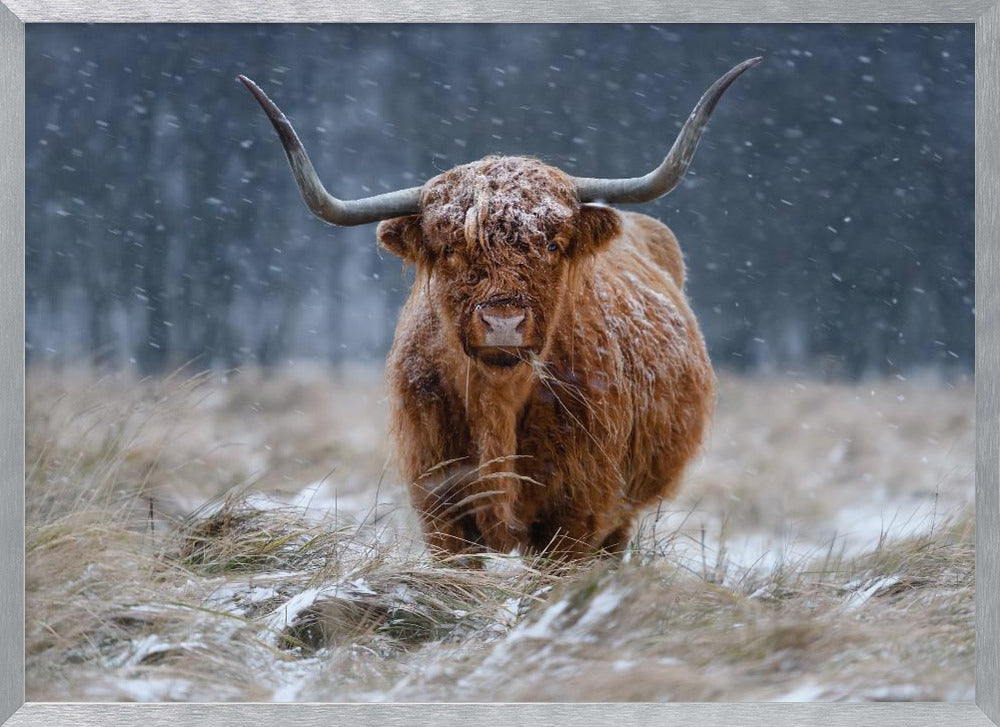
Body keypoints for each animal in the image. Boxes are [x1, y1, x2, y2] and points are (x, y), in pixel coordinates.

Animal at [239, 57, 760, 560]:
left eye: (551, 243)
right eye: (450, 248)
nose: (503, 323)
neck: (498, 404)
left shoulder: (578, 512)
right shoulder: (440, 508)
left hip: (622, 513)